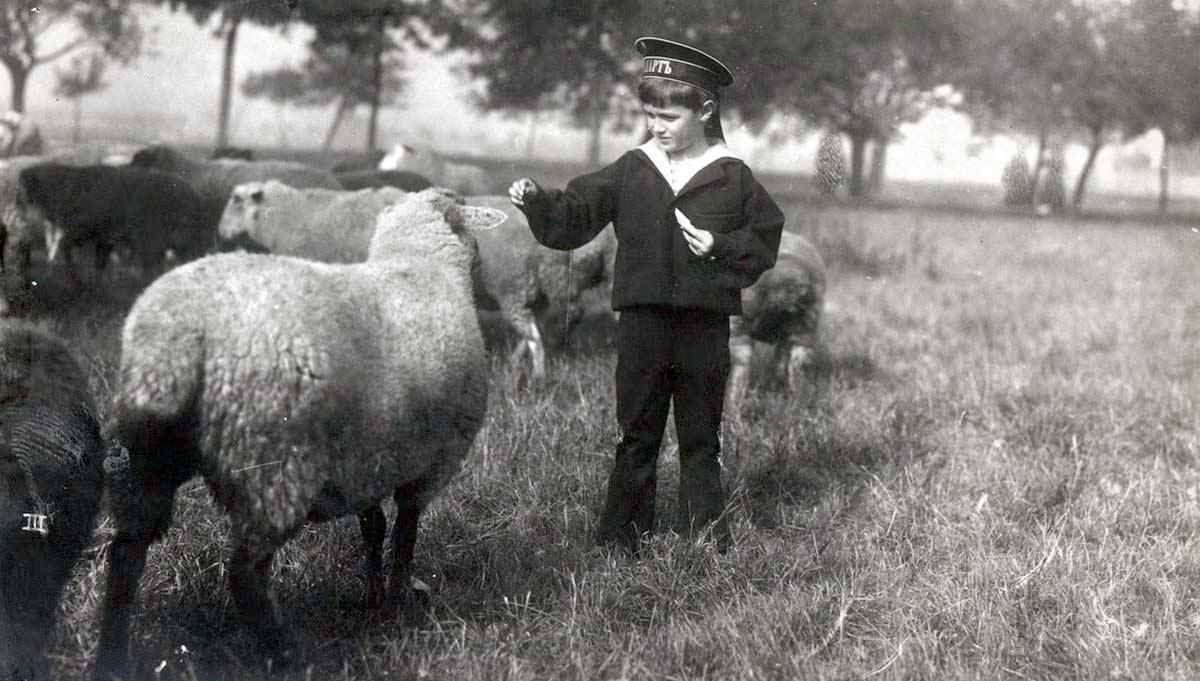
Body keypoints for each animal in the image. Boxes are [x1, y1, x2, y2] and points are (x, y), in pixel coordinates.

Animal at [93, 188, 506, 680]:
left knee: (125, 554)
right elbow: (405, 534)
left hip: (142, 455)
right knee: (244, 573)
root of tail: (179, 335)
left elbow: (373, 527)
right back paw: (285, 655)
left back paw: (111, 657)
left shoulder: (365, 458)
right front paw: (397, 601)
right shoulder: (432, 464)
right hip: (274, 465)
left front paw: (373, 597)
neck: (418, 262)